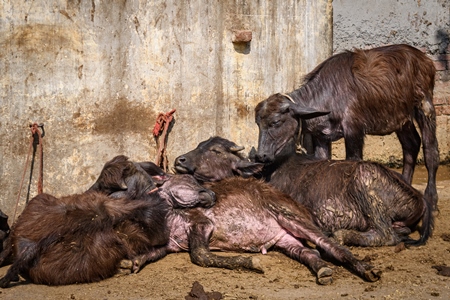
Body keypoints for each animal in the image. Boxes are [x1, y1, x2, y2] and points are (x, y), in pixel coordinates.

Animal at [174, 137, 434, 247]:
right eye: (200, 144)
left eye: (216, 151)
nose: (179, 160)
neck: (265, 174)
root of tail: (418, 196)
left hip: (365, 179)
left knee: (385, 234)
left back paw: (341, 235)